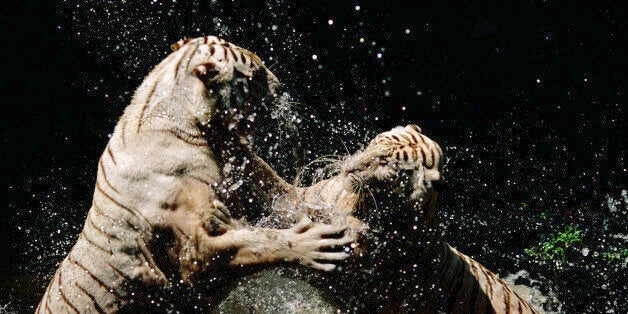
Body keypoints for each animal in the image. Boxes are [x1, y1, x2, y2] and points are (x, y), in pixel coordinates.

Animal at [36, 36, 354, 312]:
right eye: (257, 74)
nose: (279, 85)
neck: (195, 125)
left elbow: (296, 198)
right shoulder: (195, 252)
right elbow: (258, 242)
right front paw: (311, 244)